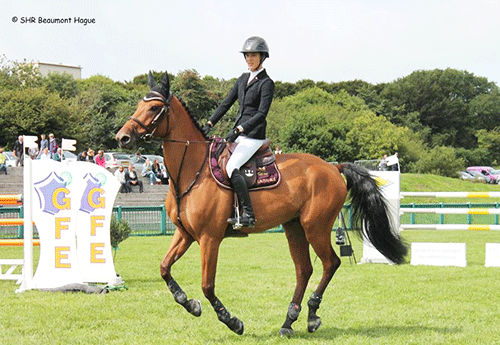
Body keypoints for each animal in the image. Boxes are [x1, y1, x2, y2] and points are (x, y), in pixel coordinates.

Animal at [115, 71, 408, 334]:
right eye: (139, 104)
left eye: (154, 107)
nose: (122, 137)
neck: (192, 171)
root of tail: (333, 167)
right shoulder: (184, 233)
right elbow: (164, 268)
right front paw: (189, 303)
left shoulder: (210, 238)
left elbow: (207, 285)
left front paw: (232, 321)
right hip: (294, 227)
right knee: (304, 269)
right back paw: (289, 321)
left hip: (315, 226)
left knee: (330, 263)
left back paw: (312, 315)